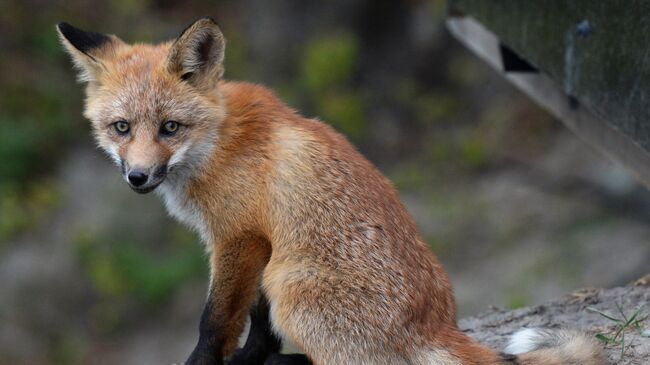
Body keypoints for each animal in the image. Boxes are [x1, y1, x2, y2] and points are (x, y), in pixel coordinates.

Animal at [58, 17, 604, 364]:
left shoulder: (240, 239)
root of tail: (437, 325)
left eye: (170, 128)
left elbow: (215, 322)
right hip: (283, 277)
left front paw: (207, 363)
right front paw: (253, 361)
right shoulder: (261, 245)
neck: (216, 144)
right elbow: (260, 331)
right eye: (122, 128)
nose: (138, 177)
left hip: (292, 286)